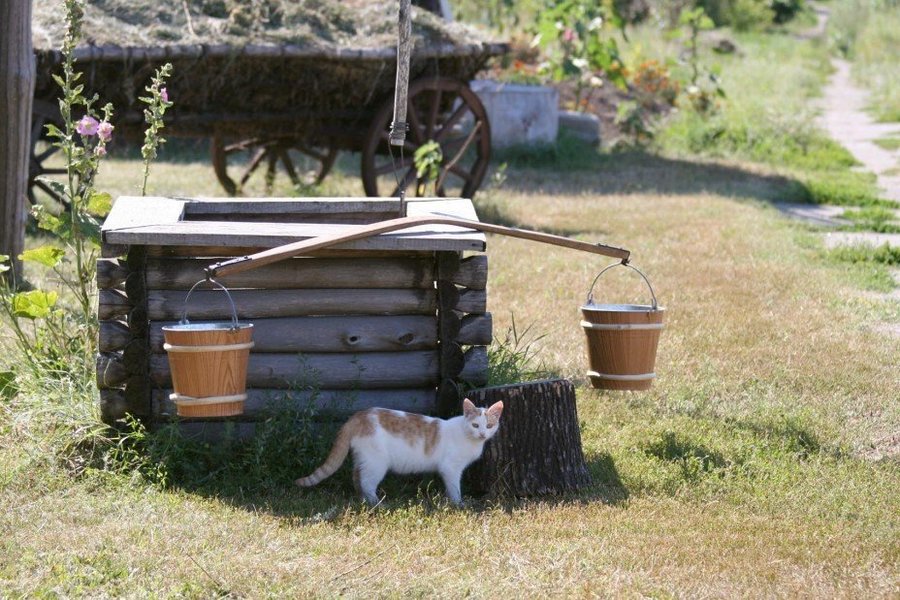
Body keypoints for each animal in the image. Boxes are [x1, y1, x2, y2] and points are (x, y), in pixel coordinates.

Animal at [298, 398, 502, 506]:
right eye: (475, 425)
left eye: (489, 426)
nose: (482, 434)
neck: (468, 437)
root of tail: (358, 416)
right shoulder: (450, 468)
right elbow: (454, 488)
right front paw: (458, 504)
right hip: (376, 463)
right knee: (366, 482)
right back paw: (378, 504)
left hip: (363, 458)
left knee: (357, 478)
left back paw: (363, 500)